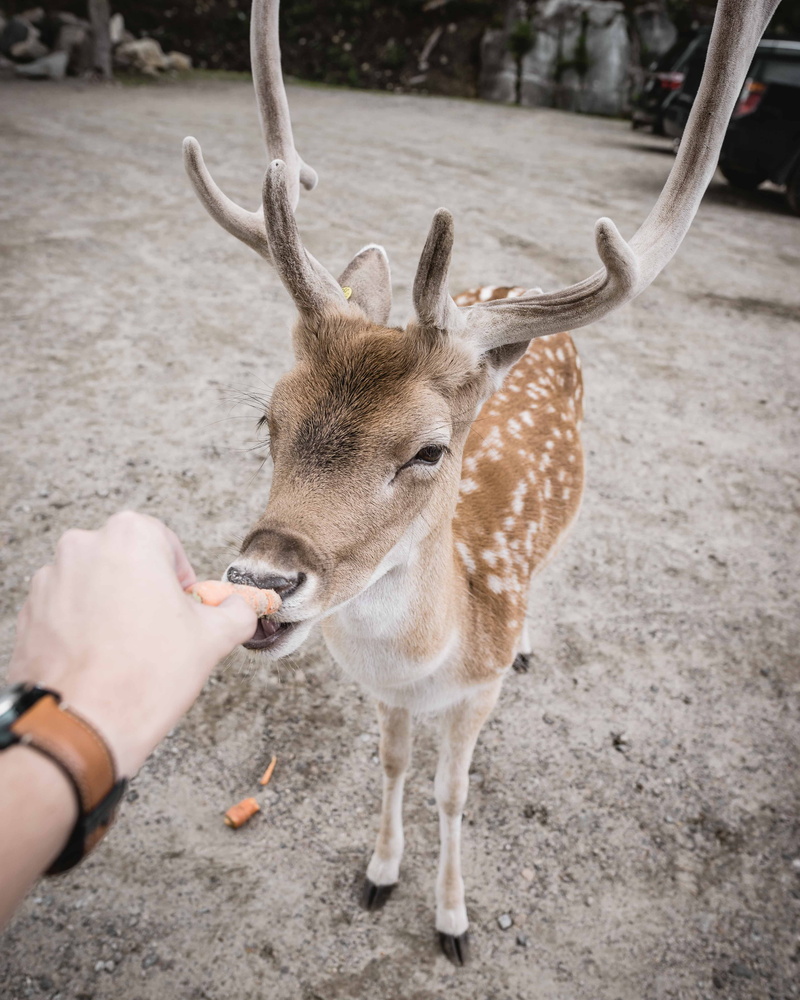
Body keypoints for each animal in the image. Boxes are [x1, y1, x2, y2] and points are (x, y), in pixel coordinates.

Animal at [183, 0, 780, 965]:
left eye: (429, 451)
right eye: (267, 418)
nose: (260, 579)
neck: (432, 661)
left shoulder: (479, 693)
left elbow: (454, 793)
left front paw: (453, 921)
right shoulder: (383, 694)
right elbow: (393, 765)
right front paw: (379, 874)